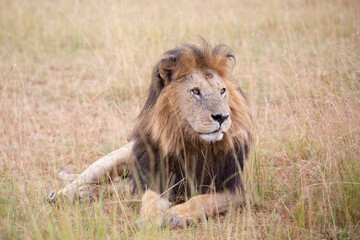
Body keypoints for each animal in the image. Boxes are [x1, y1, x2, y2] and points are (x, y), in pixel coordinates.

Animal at [46, 41, 252, 229]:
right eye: (196, 91)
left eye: (222, 91)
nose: (222, 117)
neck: (192, 144)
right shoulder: (156, 176)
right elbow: (150, 198)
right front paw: (149, 219)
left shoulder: (233, 189)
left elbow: (202, 199)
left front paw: (177, 214)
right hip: (112, 160)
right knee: (85, 178)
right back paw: (63, 194)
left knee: (120, 187)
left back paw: (87, 194)